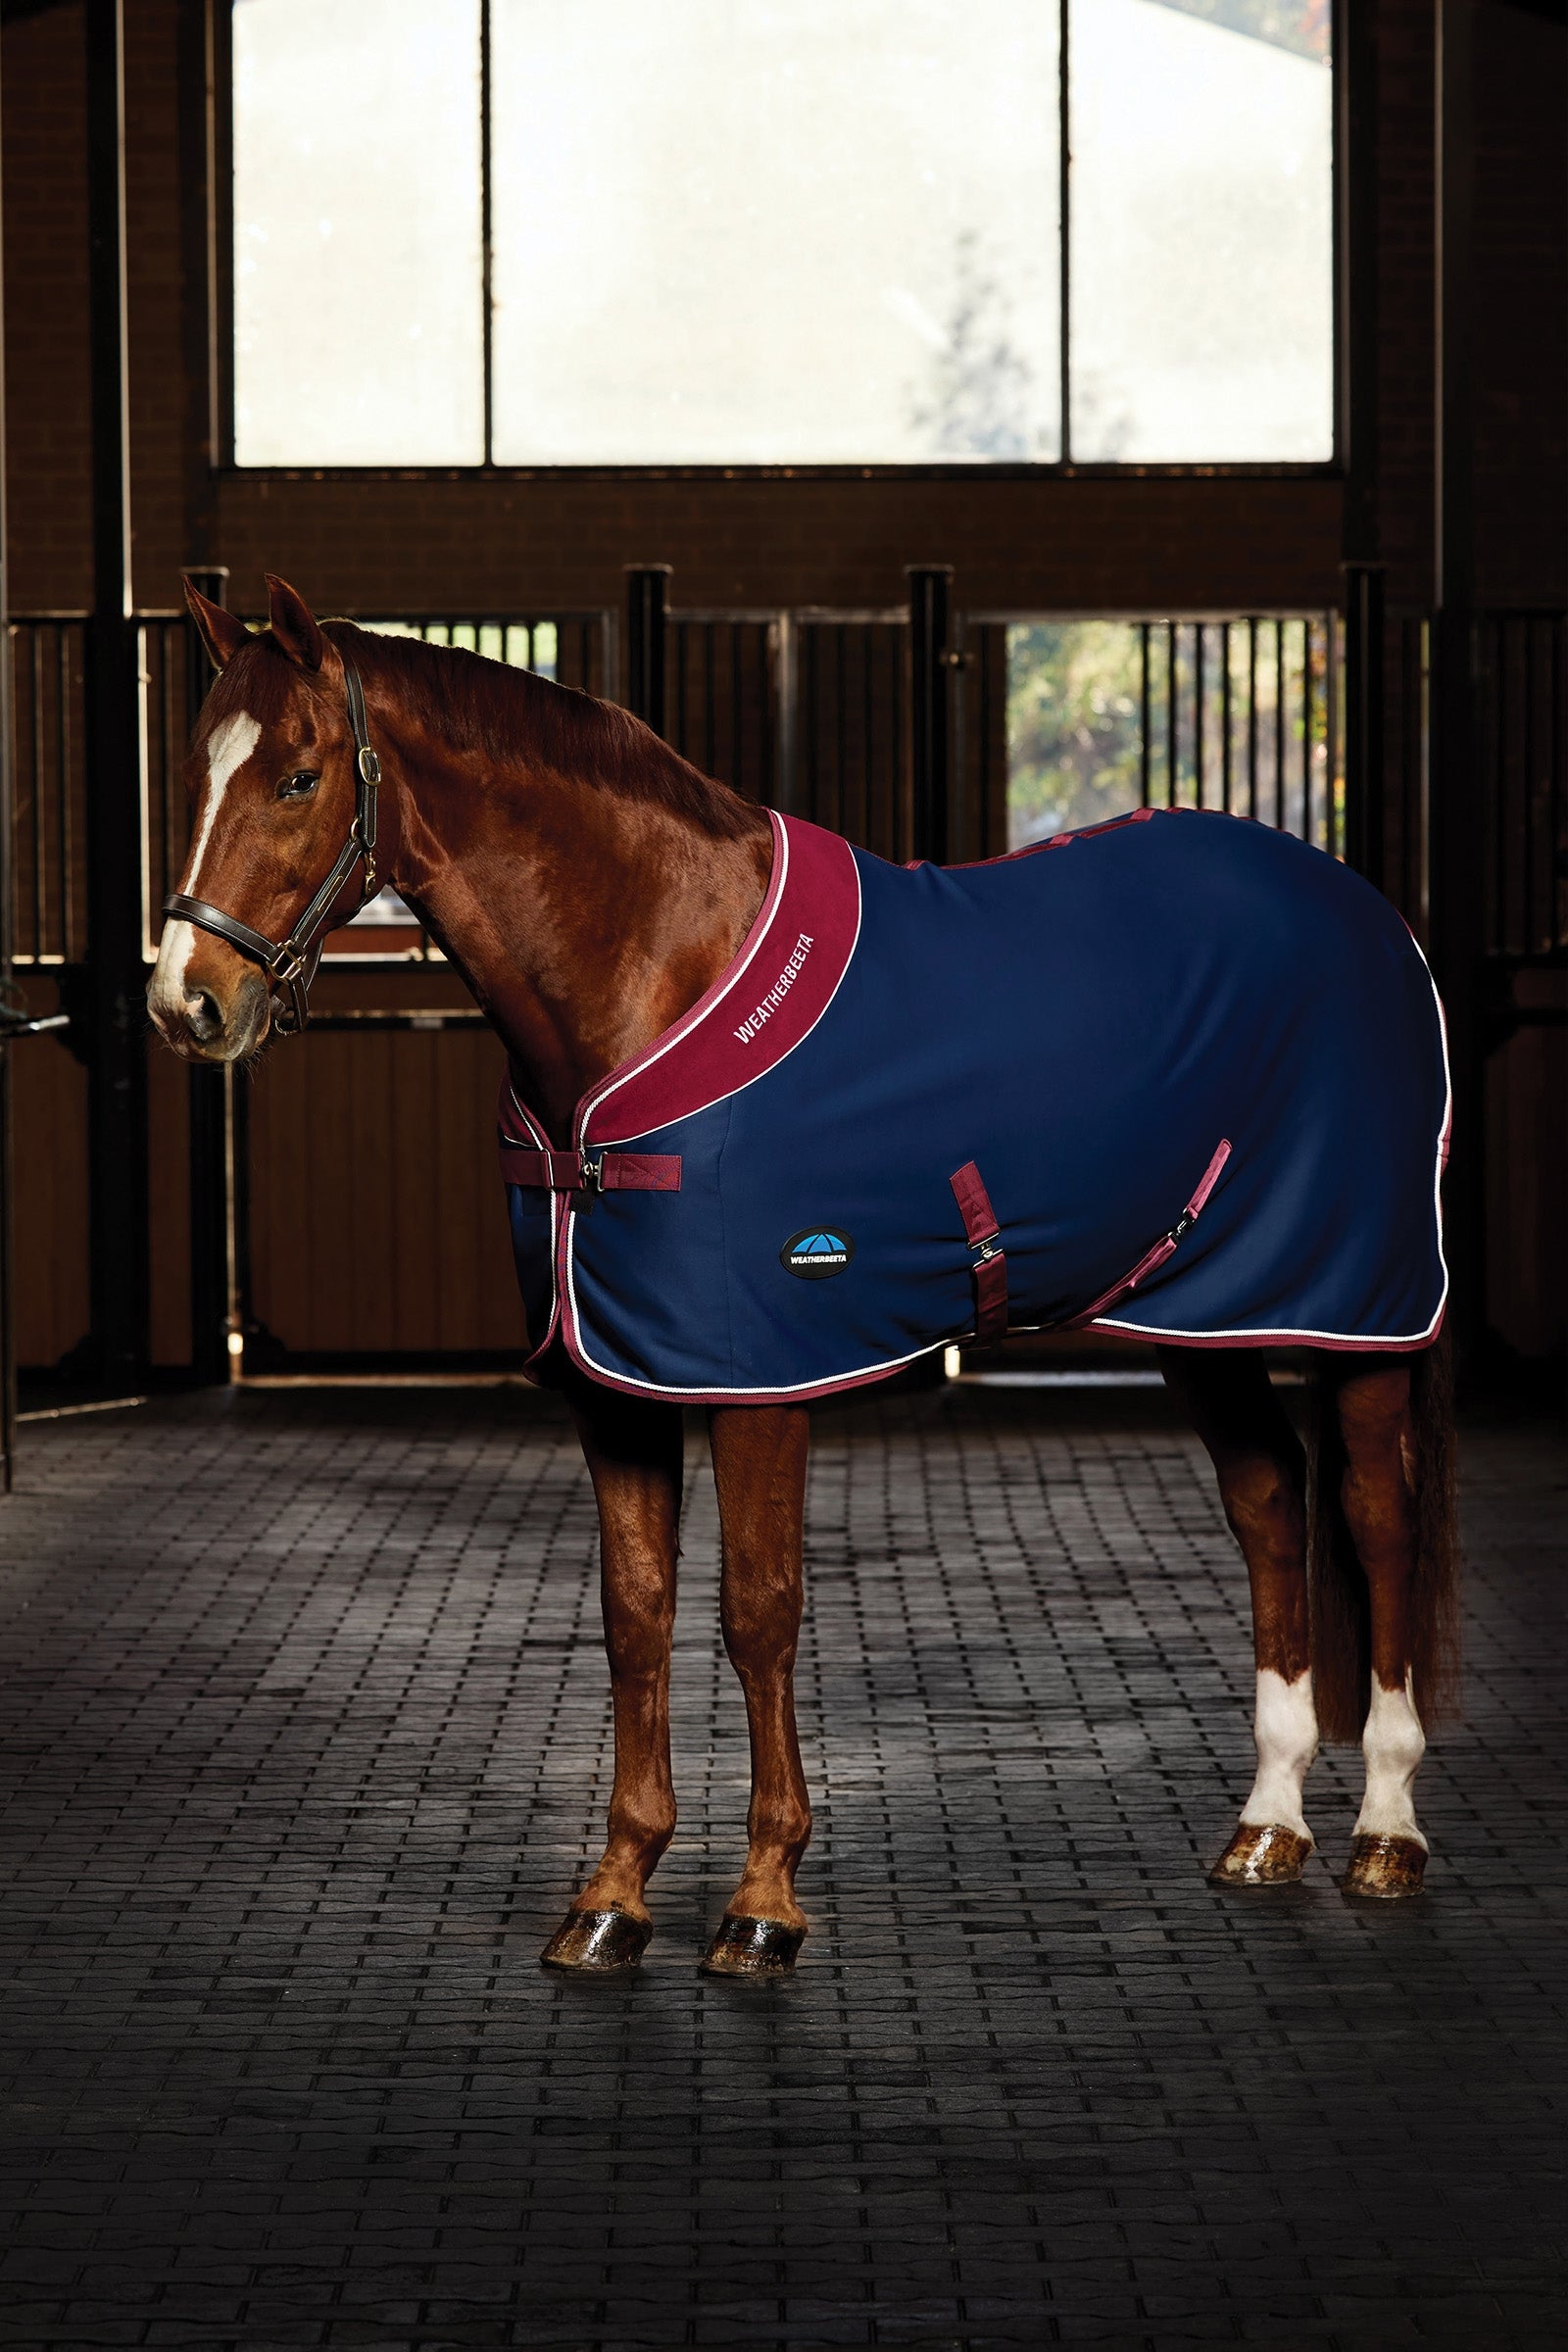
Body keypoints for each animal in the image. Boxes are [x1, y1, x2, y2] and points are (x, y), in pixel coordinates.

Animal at [148, 575, 1460, 1977]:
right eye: (196, 770)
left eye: (296, 778)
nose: (188, 1004)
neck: (655, 971)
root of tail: (1368, 916)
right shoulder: (614, 1383)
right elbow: (635, 1615)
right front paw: (613, 1894)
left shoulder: (758, 1379)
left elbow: (758, 1613)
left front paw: (763, 1902)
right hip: (1203, 1310)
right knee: (1269, 1505)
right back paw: (1267, 1826)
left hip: (1358, 1308)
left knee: (1374, 1521)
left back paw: (1387, 1829)